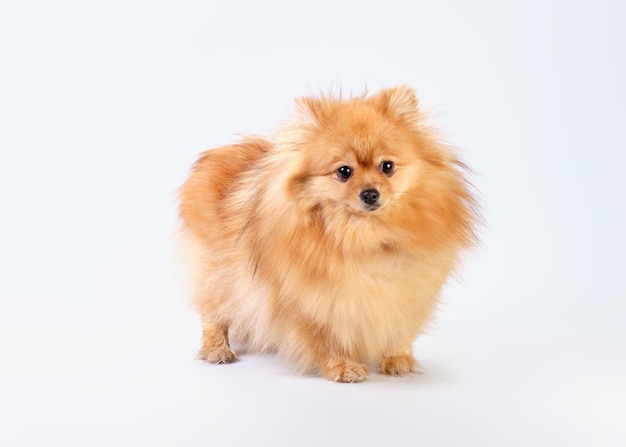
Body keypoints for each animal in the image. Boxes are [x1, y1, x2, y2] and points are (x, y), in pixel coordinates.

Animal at [178, 86, 476, 384]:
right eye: (344, 171)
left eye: (387, 166)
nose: (370, 194)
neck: (365, 238)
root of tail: (217, 154)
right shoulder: (313, 300)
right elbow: (328, 336)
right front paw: (343, 366)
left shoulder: (407, 290)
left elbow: (398, 325)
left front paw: (396, 358)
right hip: (216, 273)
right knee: (212, 314)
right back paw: (217, 350)